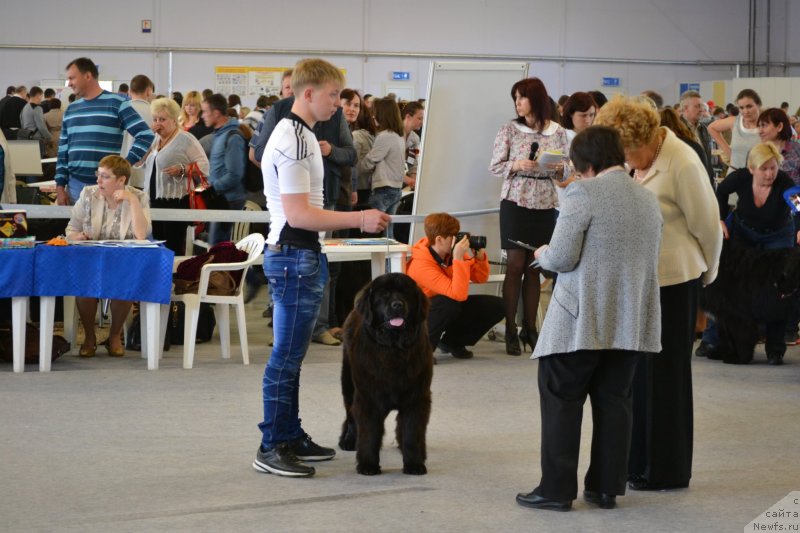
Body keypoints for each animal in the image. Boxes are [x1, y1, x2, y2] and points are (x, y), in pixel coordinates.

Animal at [338, 274, 432, 474]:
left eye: (406, 293)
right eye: (385, 294)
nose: (397, 305)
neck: (393, 349)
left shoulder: (416, 398)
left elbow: (411, 432)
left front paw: (414, 463)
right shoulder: (368, 399)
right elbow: (370, 433)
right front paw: (368, 465)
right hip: (348, 384)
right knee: (351, 416)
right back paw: (348, 440)